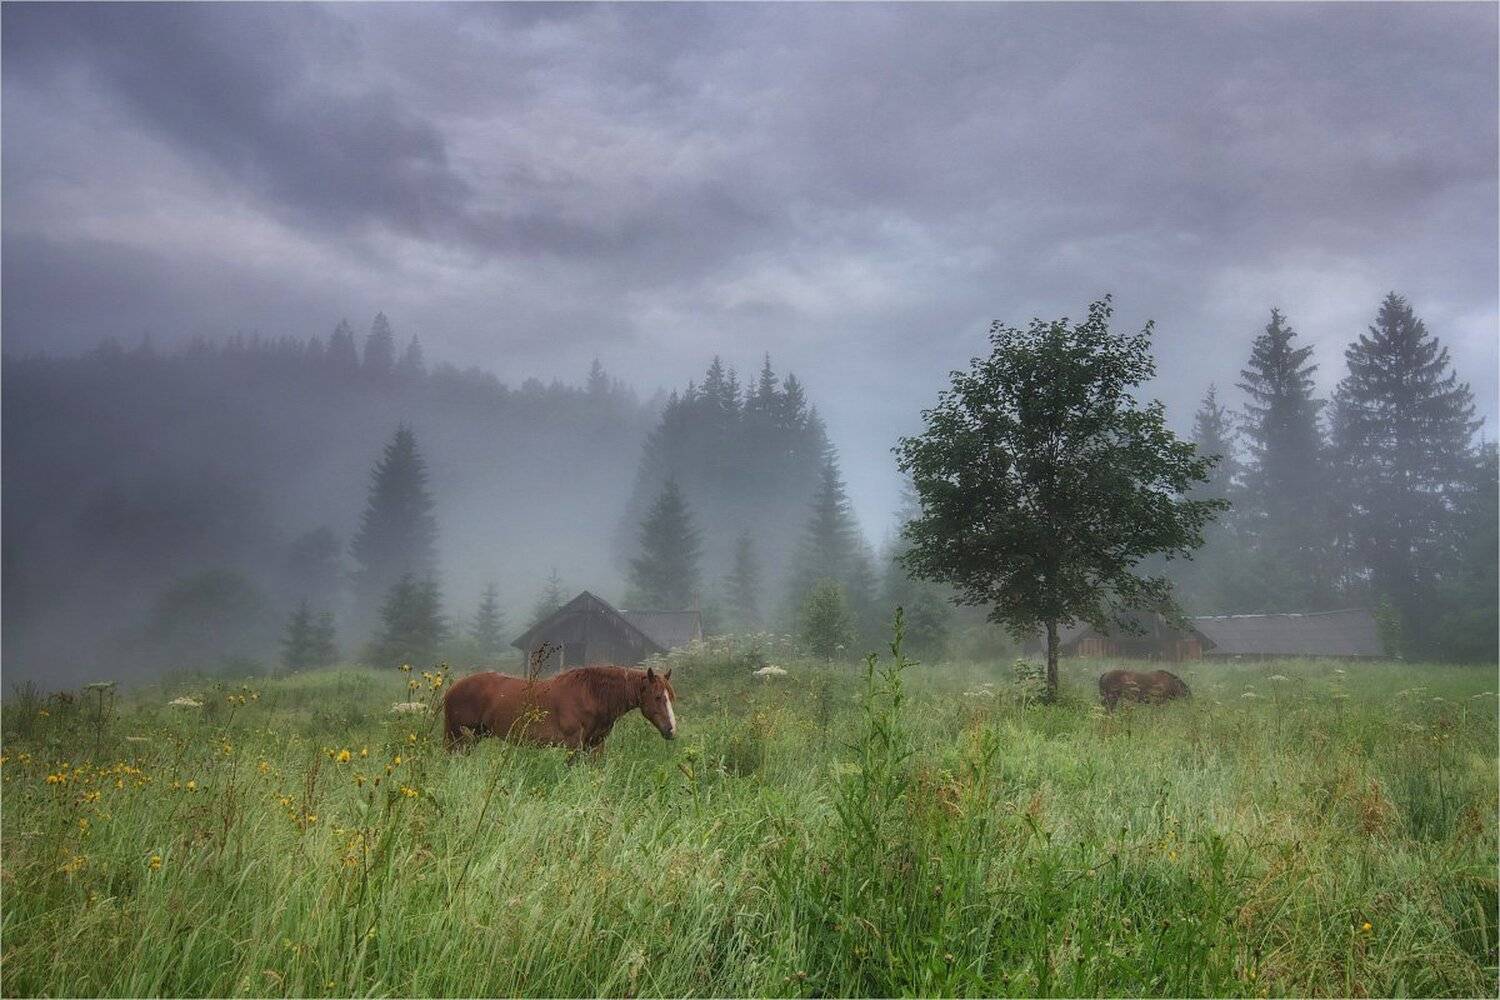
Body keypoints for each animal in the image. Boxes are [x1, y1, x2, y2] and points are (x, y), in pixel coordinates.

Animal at [443, 665, 677, 752]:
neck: (590, 695)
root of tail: (452, 688)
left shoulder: (595, 745)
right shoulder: (574, 745)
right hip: (457, 736)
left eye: (670, 698)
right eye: (658, 697)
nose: (671, 730)